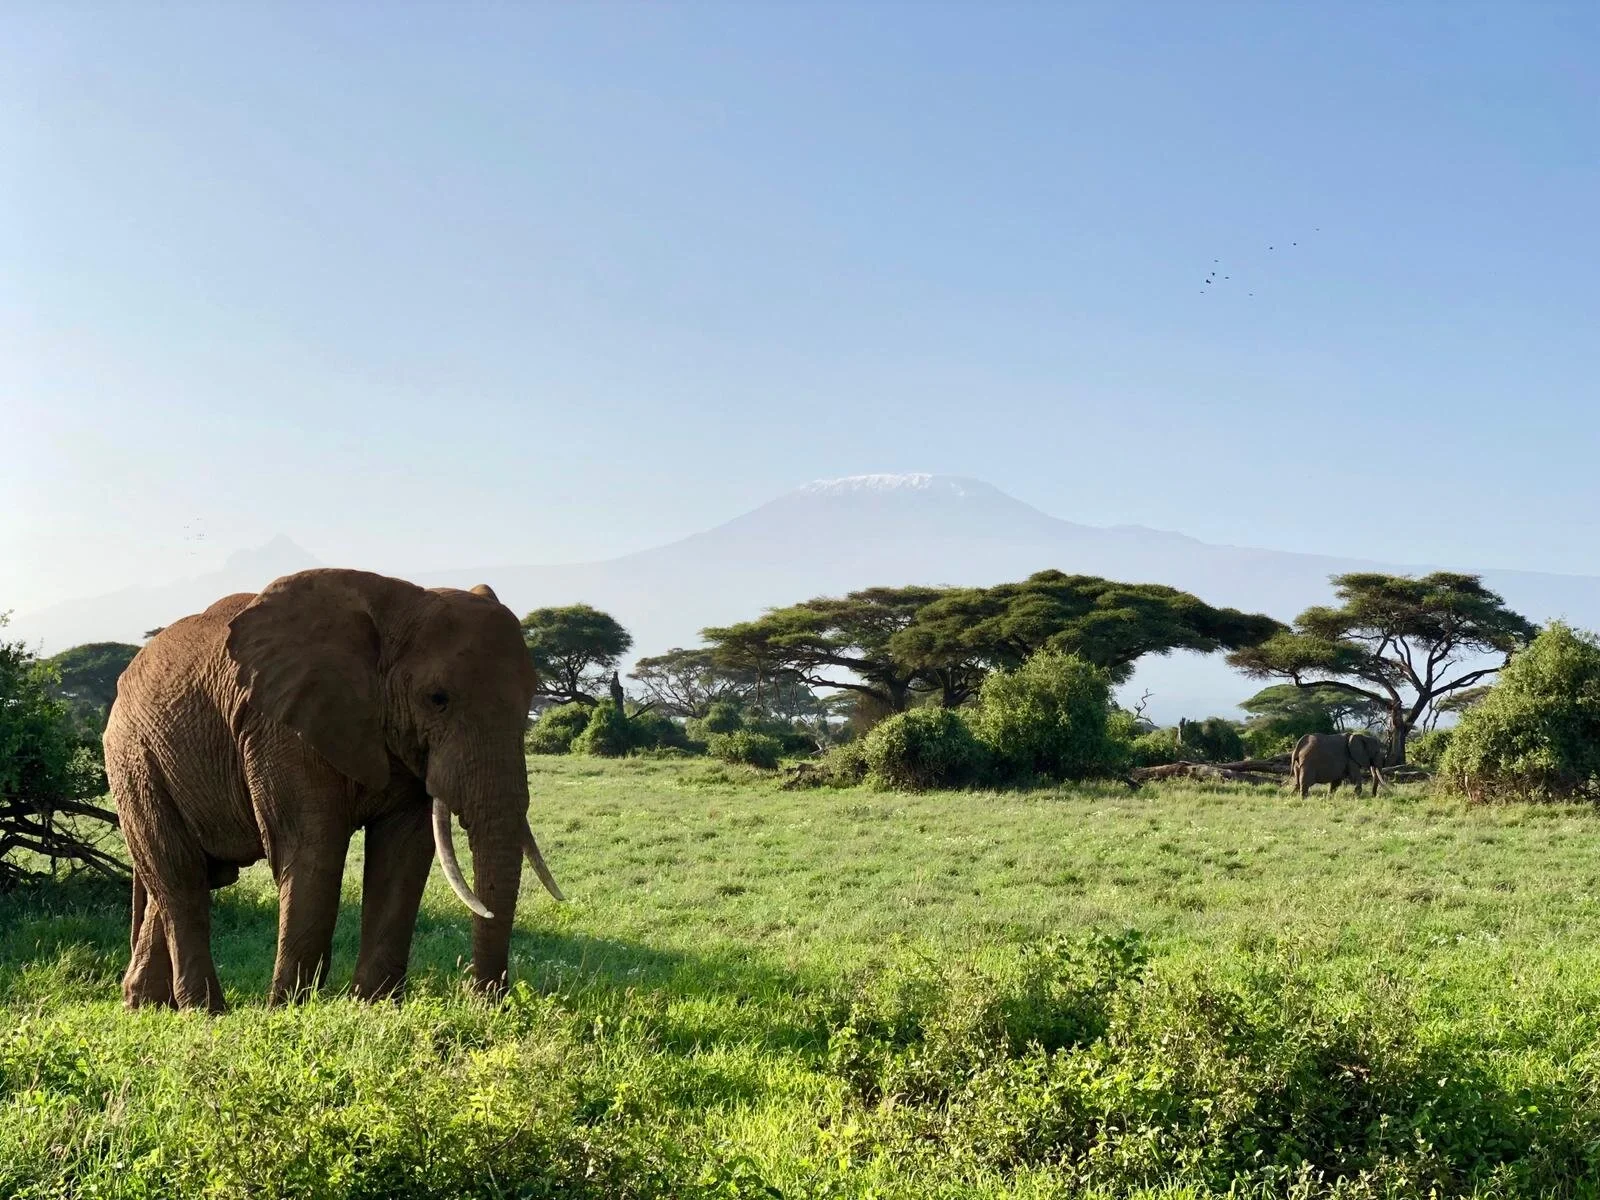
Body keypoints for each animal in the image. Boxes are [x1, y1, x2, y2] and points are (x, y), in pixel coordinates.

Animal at [103, 568, 564, 1012]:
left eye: (530, 700)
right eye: (437, 699)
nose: (486, 1000)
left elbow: (403, 854)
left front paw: (375, 1006)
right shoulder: (280, 727)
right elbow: (312, 848)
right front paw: (289, 1010)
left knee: (191, 877)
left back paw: (146, 1005)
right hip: (135, 758)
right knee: (180, 878)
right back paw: (205, 1011)